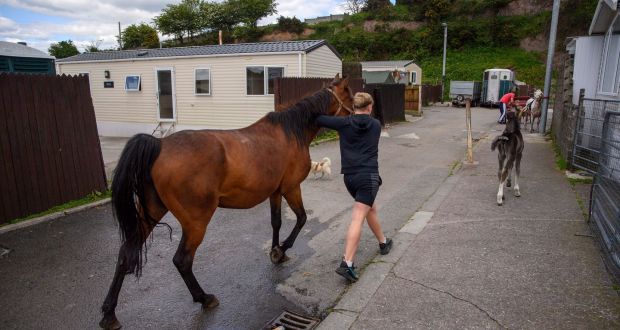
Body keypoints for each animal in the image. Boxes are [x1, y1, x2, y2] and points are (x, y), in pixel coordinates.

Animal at [100, 73, 356, 328]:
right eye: (351, 97)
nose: (358, 117)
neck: (292, 131)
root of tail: (159, 145)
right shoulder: (291, 188)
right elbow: (301, 219)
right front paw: (282, 249)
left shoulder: (275, 192)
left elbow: (276, 222)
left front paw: (276, 251)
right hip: (195, 223)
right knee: (182, 260)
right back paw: (204, 298)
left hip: (151, 211)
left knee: (125, 254)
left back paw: (109, 313)